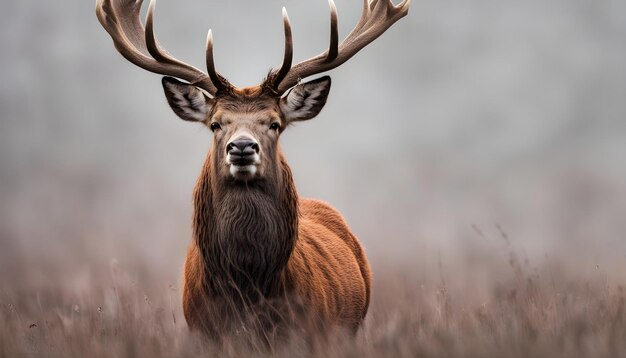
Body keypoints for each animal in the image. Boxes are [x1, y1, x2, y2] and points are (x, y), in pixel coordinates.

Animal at [96, 0, 410, 338]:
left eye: (274, 123)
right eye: (216, 124)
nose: (243, 147)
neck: (248, 288)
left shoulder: (309, 331)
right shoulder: (203, 332)